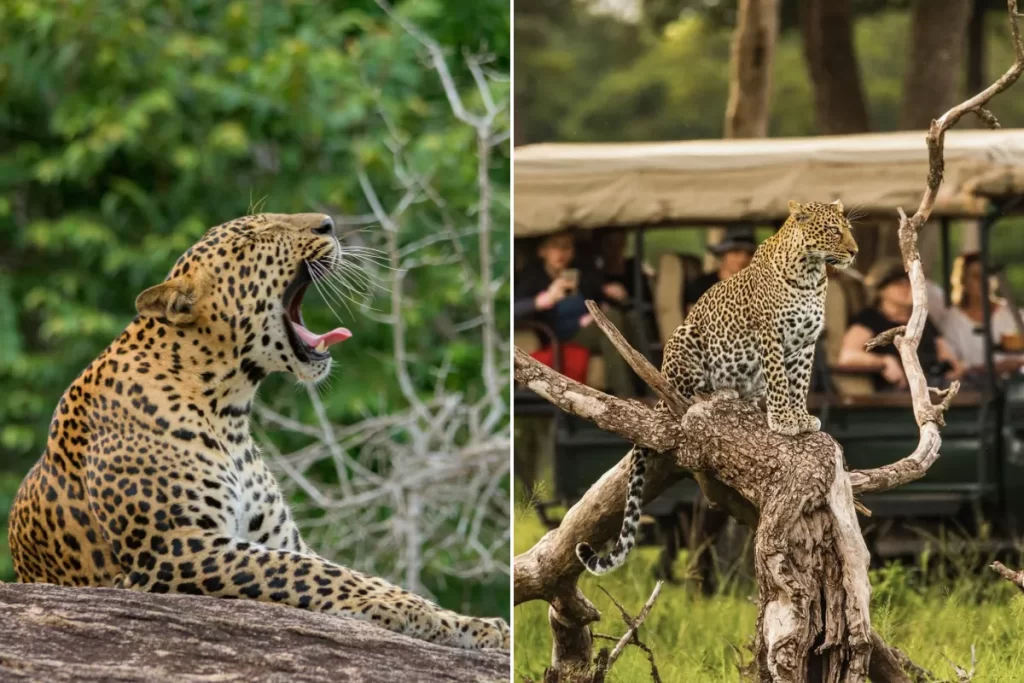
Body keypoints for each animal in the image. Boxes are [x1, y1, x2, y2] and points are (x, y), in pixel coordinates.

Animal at [7, 212, 509, 650]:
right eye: (255, 237)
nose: (329, 223)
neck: (227, 409)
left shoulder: (278, 539)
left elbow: (336, 569)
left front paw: (471, 625)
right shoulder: (174, 548)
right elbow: (312, 573)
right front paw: (412, 610)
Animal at [577, 199, 859, 575]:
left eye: (848, 230)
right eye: (832, 231)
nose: (855, 252)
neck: (811, 275)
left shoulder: (806, 344)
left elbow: (798, 383)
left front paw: (800, 419)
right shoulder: (770, 335)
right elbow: (779, 381)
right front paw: (784, 421)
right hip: (684, 338)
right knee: (685, 394)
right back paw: (718, 394)